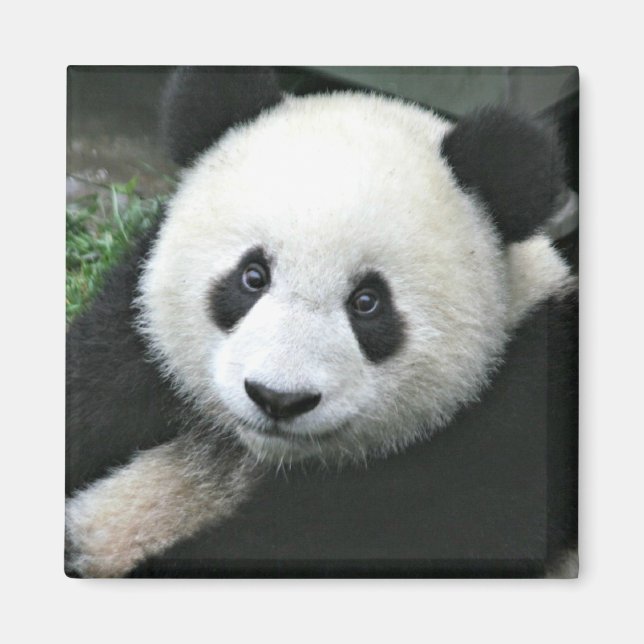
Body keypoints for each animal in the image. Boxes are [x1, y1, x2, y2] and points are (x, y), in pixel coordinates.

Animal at [66, 67, 578, 578]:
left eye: (367, 302)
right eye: (253, 276)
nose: (278, 399)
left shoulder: (514, 431)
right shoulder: (133, 342)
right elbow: (96, 387)